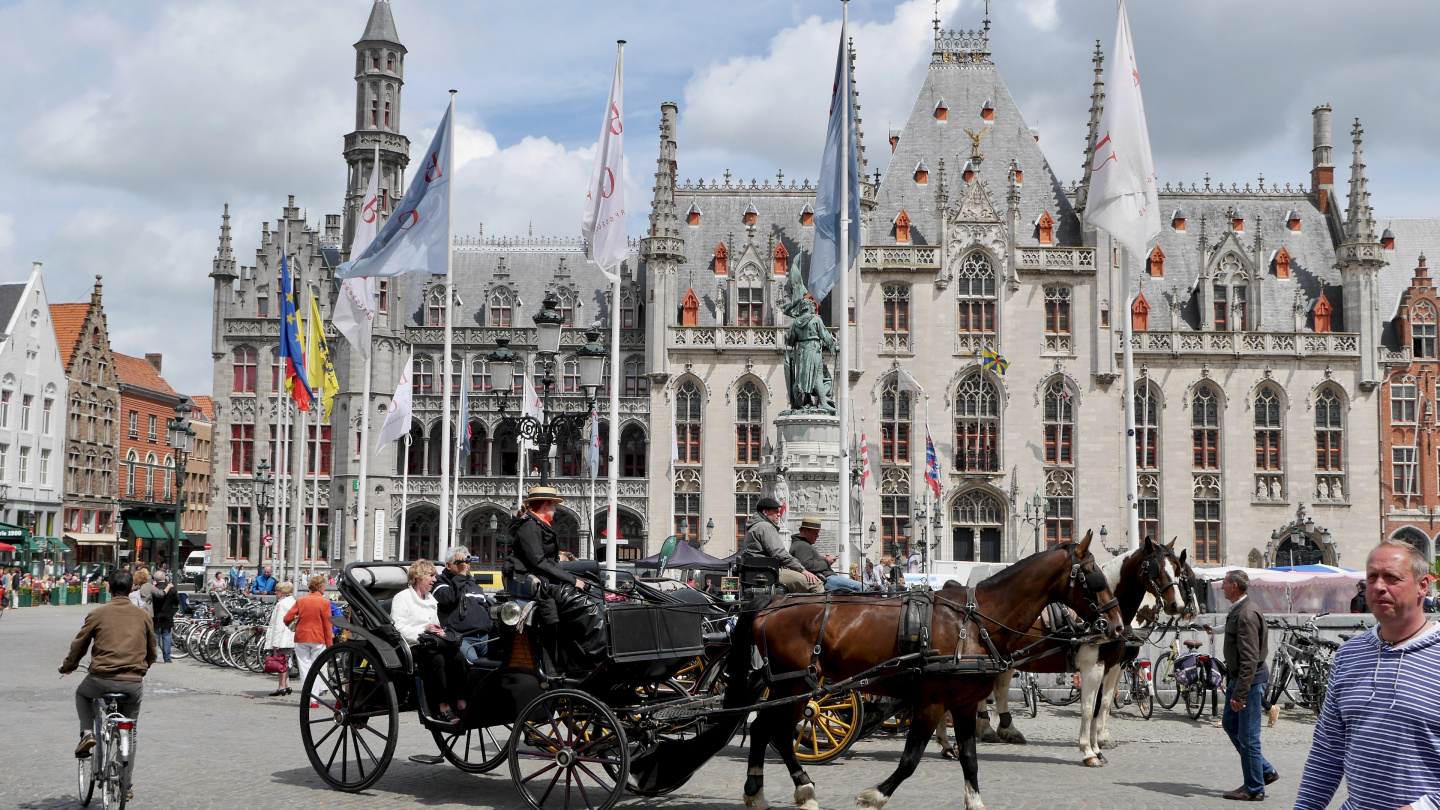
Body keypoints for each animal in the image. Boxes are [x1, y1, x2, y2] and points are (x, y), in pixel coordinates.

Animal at [731, 530, 1123, 807]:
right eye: (1092, 576)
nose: (1118, 626)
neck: (976, 621)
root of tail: (772, 600)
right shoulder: (932, 702)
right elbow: (910, 760)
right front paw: (875, 796)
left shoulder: (963, 702)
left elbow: (970, 759)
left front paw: (974, 801)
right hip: (798, 686)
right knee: (775, 730)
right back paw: (802, 791)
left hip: (794, 686)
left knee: (764, 728)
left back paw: (758, 793)